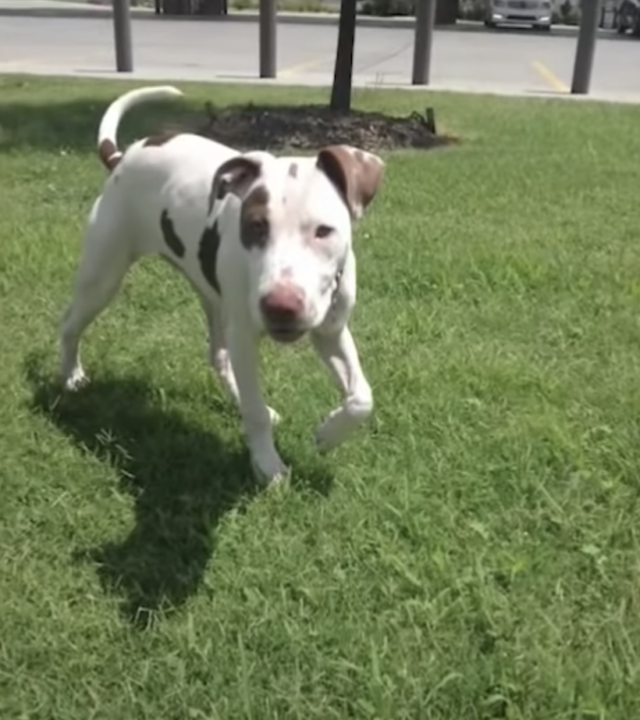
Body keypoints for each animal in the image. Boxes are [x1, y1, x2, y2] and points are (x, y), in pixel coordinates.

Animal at [58, 87, 384, 486]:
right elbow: (256, 413)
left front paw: (328, 434)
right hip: (103, 275)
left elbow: (361, 397)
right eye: (256, 225)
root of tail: (125, 156)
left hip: (214, 299)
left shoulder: (331, 332)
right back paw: (71, 376)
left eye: (323, 231)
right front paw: (269, 466)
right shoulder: (246, 336)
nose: (280, 306)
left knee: (218, 354)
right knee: (70, 325)